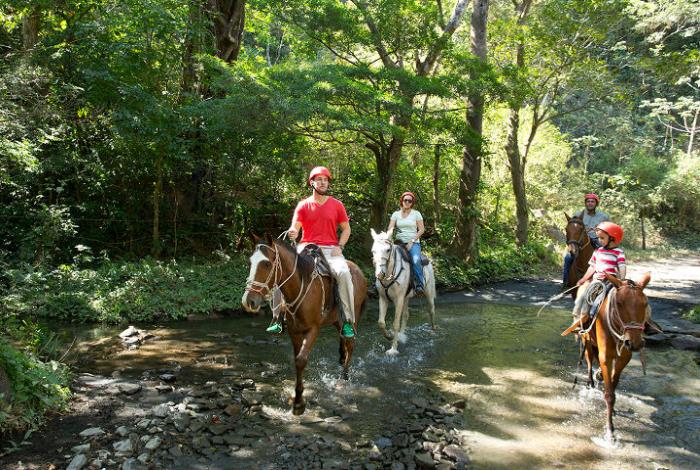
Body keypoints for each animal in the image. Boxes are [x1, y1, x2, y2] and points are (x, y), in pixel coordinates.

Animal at [242, 235, 366, 414]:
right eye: (249, 262)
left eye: (266, 264)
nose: (248, 301)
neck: (300, 285)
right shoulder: (294, 331)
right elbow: (296, 360)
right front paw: (297, 398)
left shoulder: (313, 329)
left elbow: (301, 360)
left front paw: (299, 403)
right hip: (337, 320)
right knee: (343, 338)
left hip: (352, 315)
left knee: (351, 344)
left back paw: (344, 379)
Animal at [564, 272, 652, 440]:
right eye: (619, 303)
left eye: (645, 303)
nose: (636, 342)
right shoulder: (606, 356)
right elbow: (609, 393)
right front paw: (610, 431)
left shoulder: (624, 357)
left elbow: (613, 383)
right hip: (587, 341)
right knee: (589, 362)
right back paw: (591, 383)